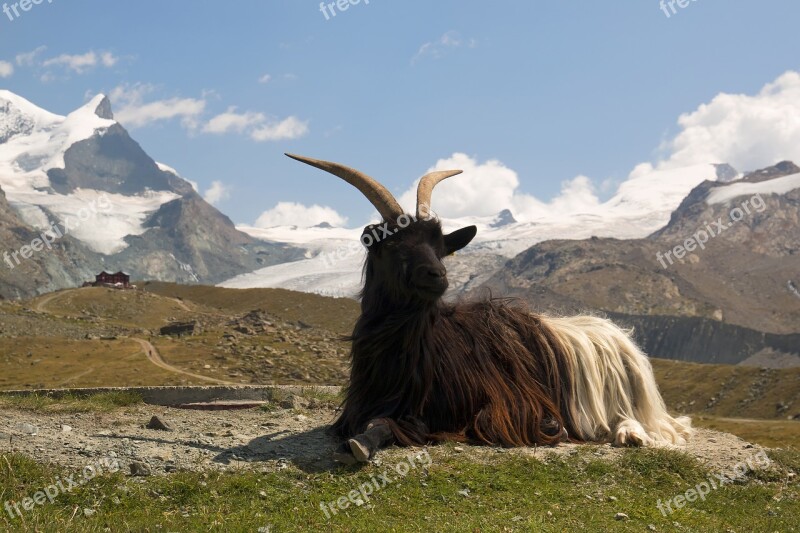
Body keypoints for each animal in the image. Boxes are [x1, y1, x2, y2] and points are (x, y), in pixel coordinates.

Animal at [284, 153, 692, 462]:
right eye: (393, 245)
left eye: (440, 246)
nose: (438, 275)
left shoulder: (451, 411)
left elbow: (386, 425)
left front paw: (362, 445)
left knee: (638, 421)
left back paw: (630, 435)